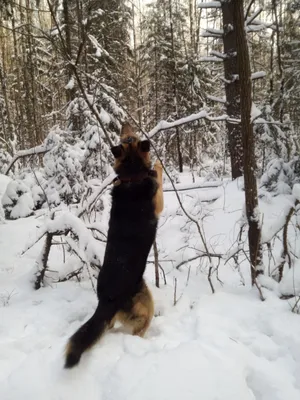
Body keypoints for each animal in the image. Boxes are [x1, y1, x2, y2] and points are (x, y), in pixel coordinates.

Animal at [64, 122, 164, 368]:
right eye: (131, 136)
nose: (126, 124)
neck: (131, 175)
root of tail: (105, 301)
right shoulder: (158, 202)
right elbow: (158, 175)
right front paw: (158, 164)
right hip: (145, 305)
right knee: (139, 328)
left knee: (106, 327)